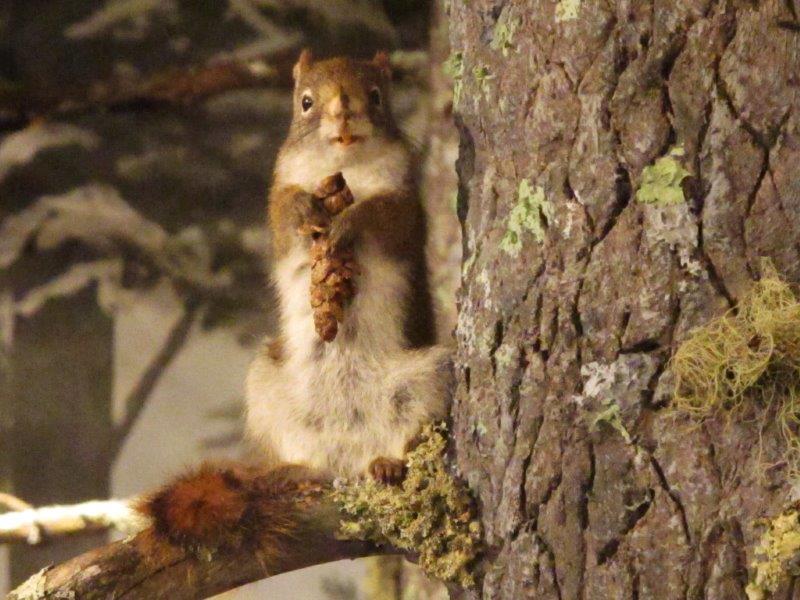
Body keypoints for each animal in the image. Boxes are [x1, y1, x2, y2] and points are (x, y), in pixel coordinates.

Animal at [138, 50, 453, 557]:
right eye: (305, 102)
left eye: (376, 95)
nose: (343, 113)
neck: (344, 167)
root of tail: (347, 458)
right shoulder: (278, 200)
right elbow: (284, 212)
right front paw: (306, 206)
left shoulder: (405, 207)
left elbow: (383, 216)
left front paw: (350, 221)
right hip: (267, 387)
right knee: (309, 457)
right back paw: (294, 472)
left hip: (427, 380)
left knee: (407, 435)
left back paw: (388, 463)